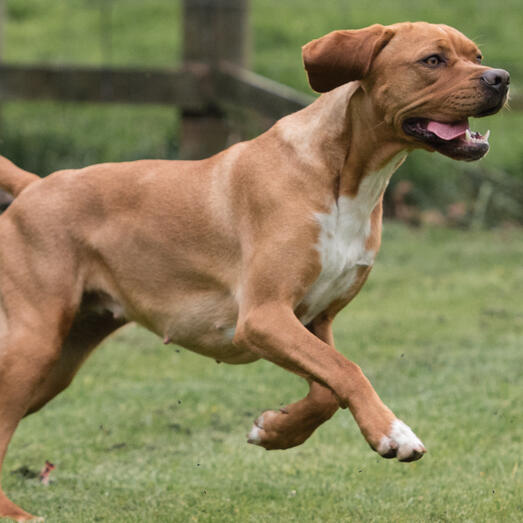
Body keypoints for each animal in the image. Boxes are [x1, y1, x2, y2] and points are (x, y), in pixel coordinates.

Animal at [0, 22, 510, 520]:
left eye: (477, 57)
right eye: (433, 60)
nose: (501, 78)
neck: (344, 178)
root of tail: (35, 186)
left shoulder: (313, 321)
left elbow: (329, 388)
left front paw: (276, 430)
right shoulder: (264, 317)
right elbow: (348, 371)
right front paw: (392, 433)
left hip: (58, 364)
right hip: (33, 347)